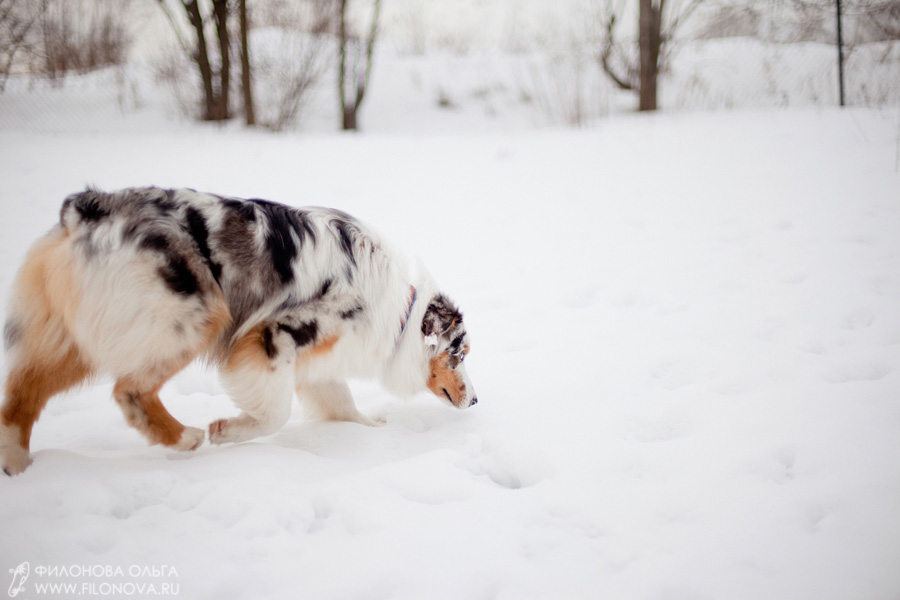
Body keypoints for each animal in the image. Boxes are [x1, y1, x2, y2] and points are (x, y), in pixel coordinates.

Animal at [0, 185, 474, 476]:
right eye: (459, 355)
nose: (474, 400)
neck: (399, 312)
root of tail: (86, 209)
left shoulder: (321, 360)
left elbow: (343, 404)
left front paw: (372, 428)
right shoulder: (274, 335)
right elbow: (276, 414)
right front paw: (228, 431)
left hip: (78, 336)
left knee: (24, 391)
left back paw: (18, 468)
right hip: (195, 316)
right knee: (128, 390)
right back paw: (185, 437)